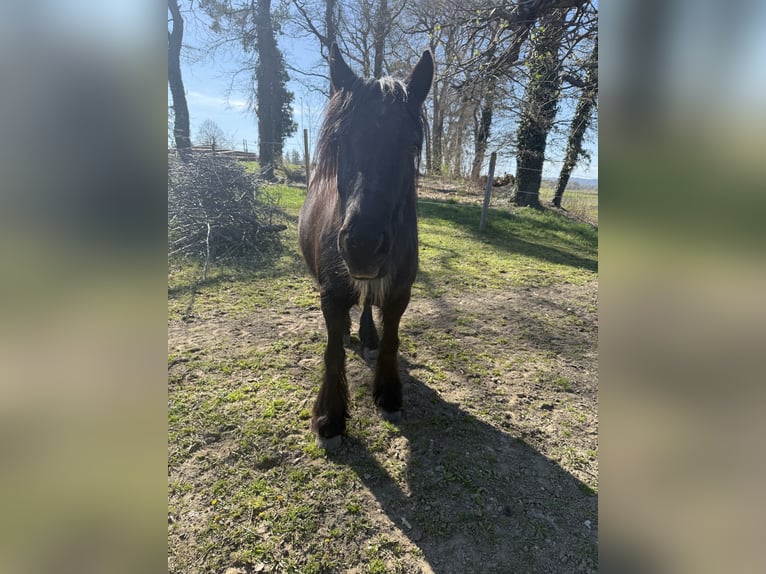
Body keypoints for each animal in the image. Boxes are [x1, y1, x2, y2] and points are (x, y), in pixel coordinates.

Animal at [298, 43, 433, 449]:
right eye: (341, 143)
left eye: (411, 147)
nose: (363, 245)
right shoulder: (330, 294)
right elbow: (332, 353)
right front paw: (329, 418)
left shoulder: (400, 292)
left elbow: (391, 340)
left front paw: (388, 395)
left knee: (369, 305)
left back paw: (367, 335)